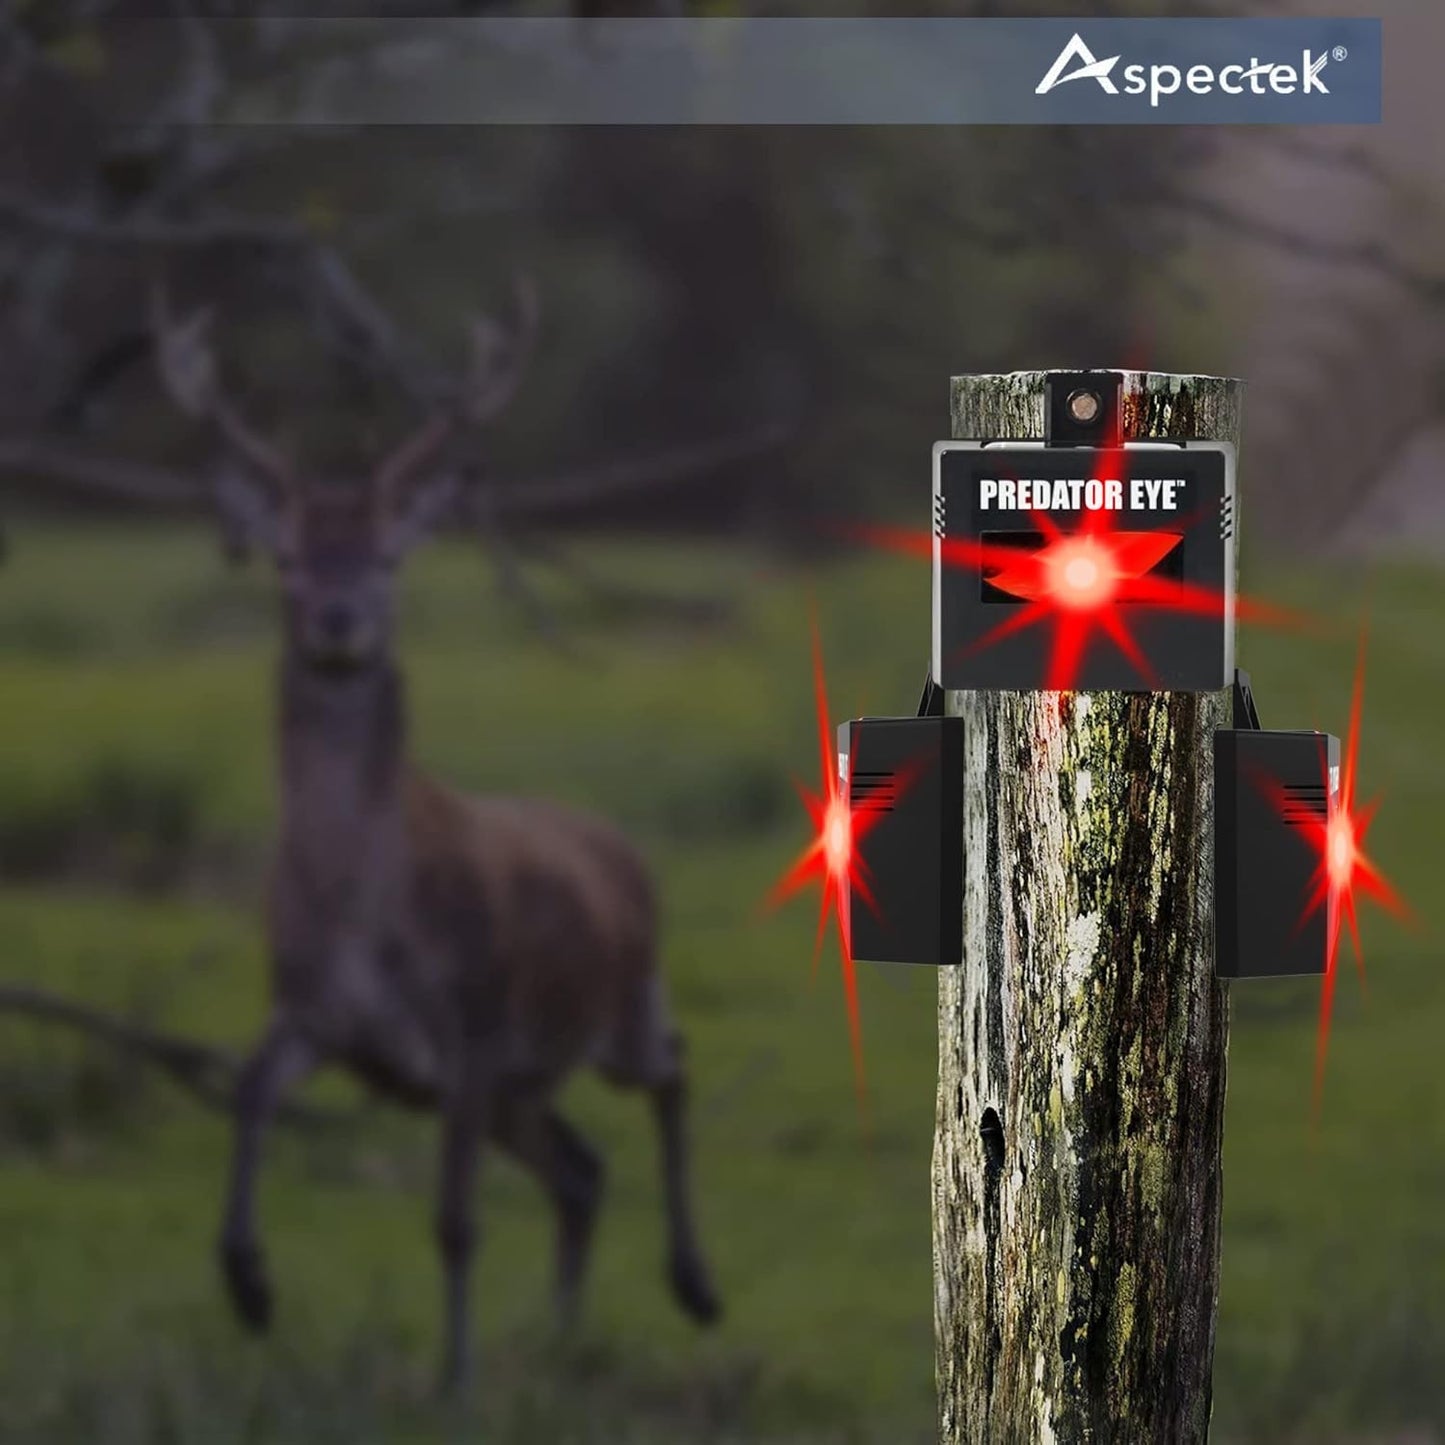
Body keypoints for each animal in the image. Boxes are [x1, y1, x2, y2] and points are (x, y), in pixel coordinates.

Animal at [148, 279, 722, 1391]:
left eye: (384, 556)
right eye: (286, 556)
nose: (336, 619)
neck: (366, 914)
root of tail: (615, 842)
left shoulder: (475, 1019)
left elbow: (455, 1221)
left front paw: (455, 1384)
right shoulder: (316, 1011)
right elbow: (247, 1089)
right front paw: (248, 1282)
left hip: (619, 1003)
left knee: (671, 1070)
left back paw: (694, 1285)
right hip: (521, 1088)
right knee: (581, 1166)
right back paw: (559, 1333)